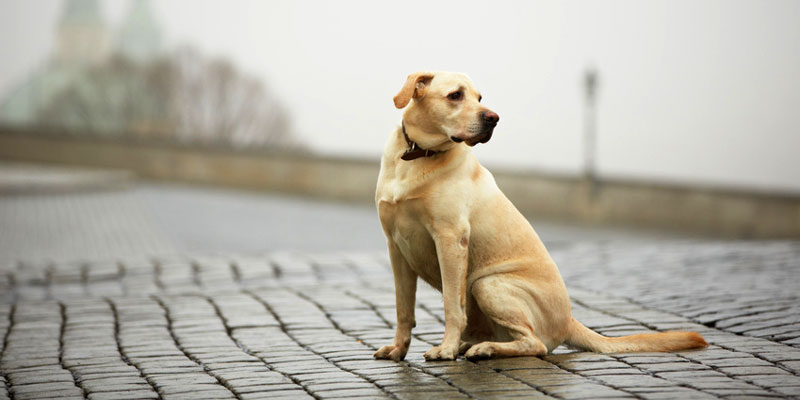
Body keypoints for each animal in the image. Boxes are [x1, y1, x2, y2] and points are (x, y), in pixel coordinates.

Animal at [376, 72, 708, 362]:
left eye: (480, 97)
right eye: (455, 95)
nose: (493, 118)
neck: (417, 155)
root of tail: (569, 320)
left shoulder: (450, 239)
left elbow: (452, 306)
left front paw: (445, 349)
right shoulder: (395, 248)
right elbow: (403, 309)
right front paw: (398, 349)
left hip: (487, 284)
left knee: (535, 344)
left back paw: (484, 349)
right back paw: (473, 345)